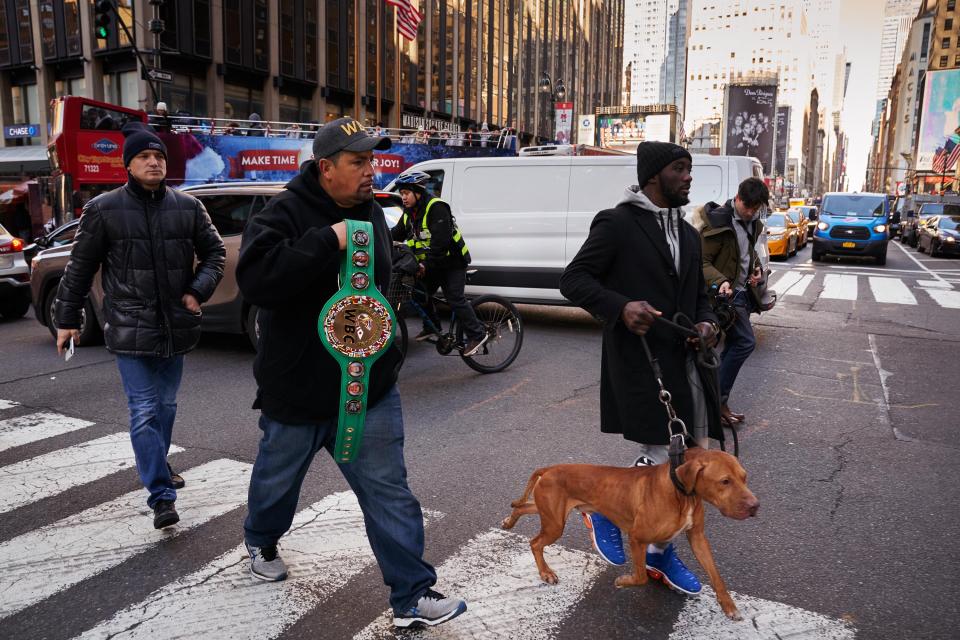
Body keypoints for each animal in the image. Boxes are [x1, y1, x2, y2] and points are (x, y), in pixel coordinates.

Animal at [502, 444, 756, 620]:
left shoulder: (698, 538)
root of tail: (550, 469)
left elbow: (716, 576)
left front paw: (729, 606)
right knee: (535, 543)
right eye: (724, 481)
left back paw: (508, 521)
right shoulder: (637, 539)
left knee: (522, 507)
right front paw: (624, 581)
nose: (755, 506)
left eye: (744, 477)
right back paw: (545, 573)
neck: (682, 493)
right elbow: (641, 576)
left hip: (548, 512)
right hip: (555, 524)